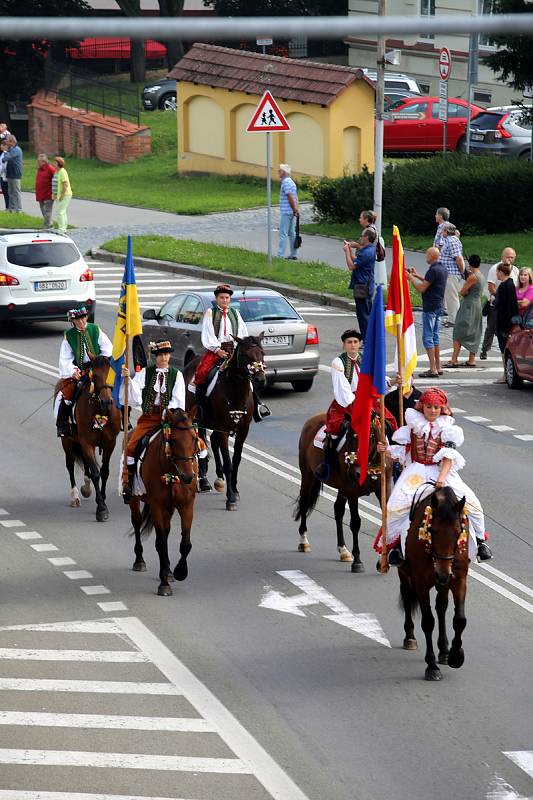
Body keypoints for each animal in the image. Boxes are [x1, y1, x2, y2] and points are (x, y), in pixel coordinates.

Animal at [54, 356, 120, 524]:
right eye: (94, 376)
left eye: (111, 373)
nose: (106, 402)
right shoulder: (87, 443)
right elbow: (96, 473)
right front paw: (101, 509)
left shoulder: (110, 443)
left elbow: (104, 471)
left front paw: (101, 498)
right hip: (68, 442)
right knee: (70, 465)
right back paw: (75, 496)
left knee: (85, 464)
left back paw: (87, 487)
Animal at [128, 410, 198, 596]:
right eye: (173, 440)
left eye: (194, 438)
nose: (188, 476)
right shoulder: (157, 505)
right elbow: (161, 543)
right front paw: (164, 584)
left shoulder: (186, 505)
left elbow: (185, 543)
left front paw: (180, 572)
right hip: (134, 499)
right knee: (137, 522)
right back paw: (140, 561)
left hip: (169, 508)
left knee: (166, 531)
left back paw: (168, 571)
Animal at [185, 334, 266, 510]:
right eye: (245, 355)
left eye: (262, 353)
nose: (260, 379)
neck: (234, 392)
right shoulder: (222, 429)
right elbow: (228, 463)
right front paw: (231, 498)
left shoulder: (243, 430)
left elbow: (236, 460)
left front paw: (234, 490)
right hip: (198, 421)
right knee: (202, 444)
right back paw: (205, 482)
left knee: (213, 442)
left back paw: (219, 478)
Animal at [290, 410, 390, 572]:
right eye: (349, 436)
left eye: (367, 438)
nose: (355, 473)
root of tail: (311, 420)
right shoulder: (353, 492)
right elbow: (355, 523)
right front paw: (358, 562)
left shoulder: (383, 490)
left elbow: (387, 519)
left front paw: (383, 561)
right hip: (308, 475)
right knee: (304, 503)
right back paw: (303, 542)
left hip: (341, 487)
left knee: (338, 510)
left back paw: (343, 550)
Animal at [396, 488, 468, 680]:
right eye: (432, 530)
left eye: (458, 532)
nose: (442, 573)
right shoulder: (421, 582)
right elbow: (428, 621)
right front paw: (432, 666)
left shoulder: (459, 580)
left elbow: (460, 619)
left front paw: (455, 656)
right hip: (405, 574)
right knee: (407, 597)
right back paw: (410, 637)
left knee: (441, 607)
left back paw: (444, 650)